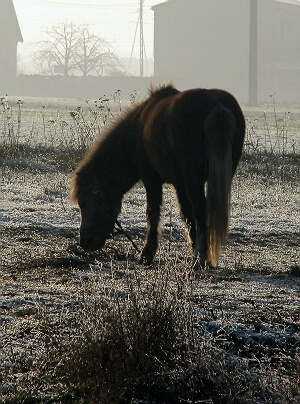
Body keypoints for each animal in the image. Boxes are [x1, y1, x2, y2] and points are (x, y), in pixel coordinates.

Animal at [71, 84, 245, 268]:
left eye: (84, 203)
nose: (85, 242)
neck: (136, 131)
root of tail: (216, 105)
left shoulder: (152, 180)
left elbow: (153, 214)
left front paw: (147, 254)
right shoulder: (179, 185)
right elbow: (187, 216)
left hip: (194, 180)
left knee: (200, 209)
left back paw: (200, 259)